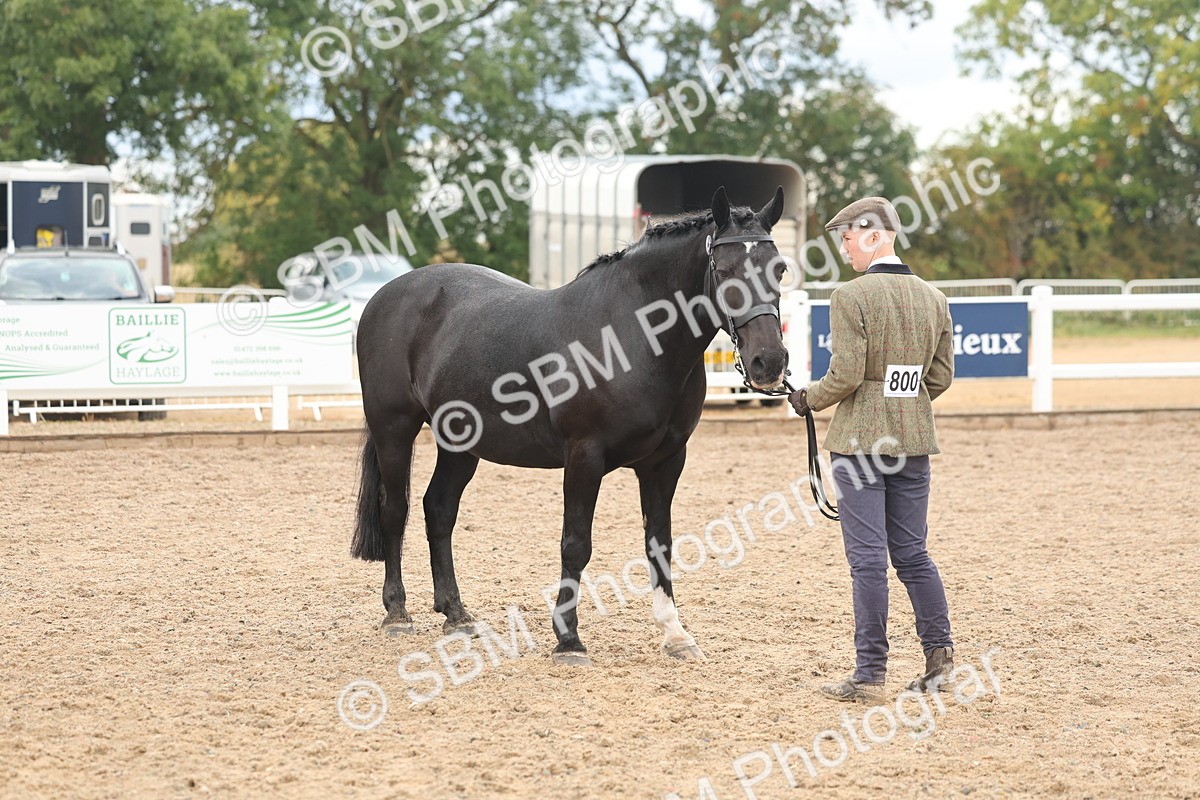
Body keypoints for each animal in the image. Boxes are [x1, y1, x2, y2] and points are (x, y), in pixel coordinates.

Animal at [351, 186, 791, 665]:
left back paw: (456, 613)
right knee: (395, 511)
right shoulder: (585, 456)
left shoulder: (666, 462)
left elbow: (660, 543)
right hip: (394, 429)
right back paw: (397, 613)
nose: (769, 362)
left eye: (780, 269)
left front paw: (675, 634)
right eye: (723, 269)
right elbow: (576, 543)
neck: (631, 337)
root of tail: (386, 295)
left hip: (460, 446)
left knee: (439, 510)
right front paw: (568, 639)